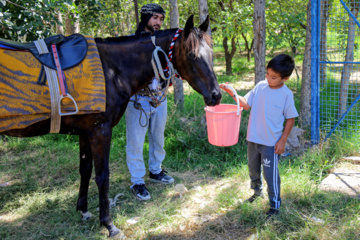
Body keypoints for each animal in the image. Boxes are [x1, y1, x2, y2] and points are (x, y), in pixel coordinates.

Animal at [0, 15, 221, 238]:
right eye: (192, 54)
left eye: (211, 53)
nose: (216, 95)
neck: (111, 68)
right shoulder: (101, 131)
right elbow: (102, 176)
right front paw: (108, 224)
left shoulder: (85, 132)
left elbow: (85, 170)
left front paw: (83, 210)